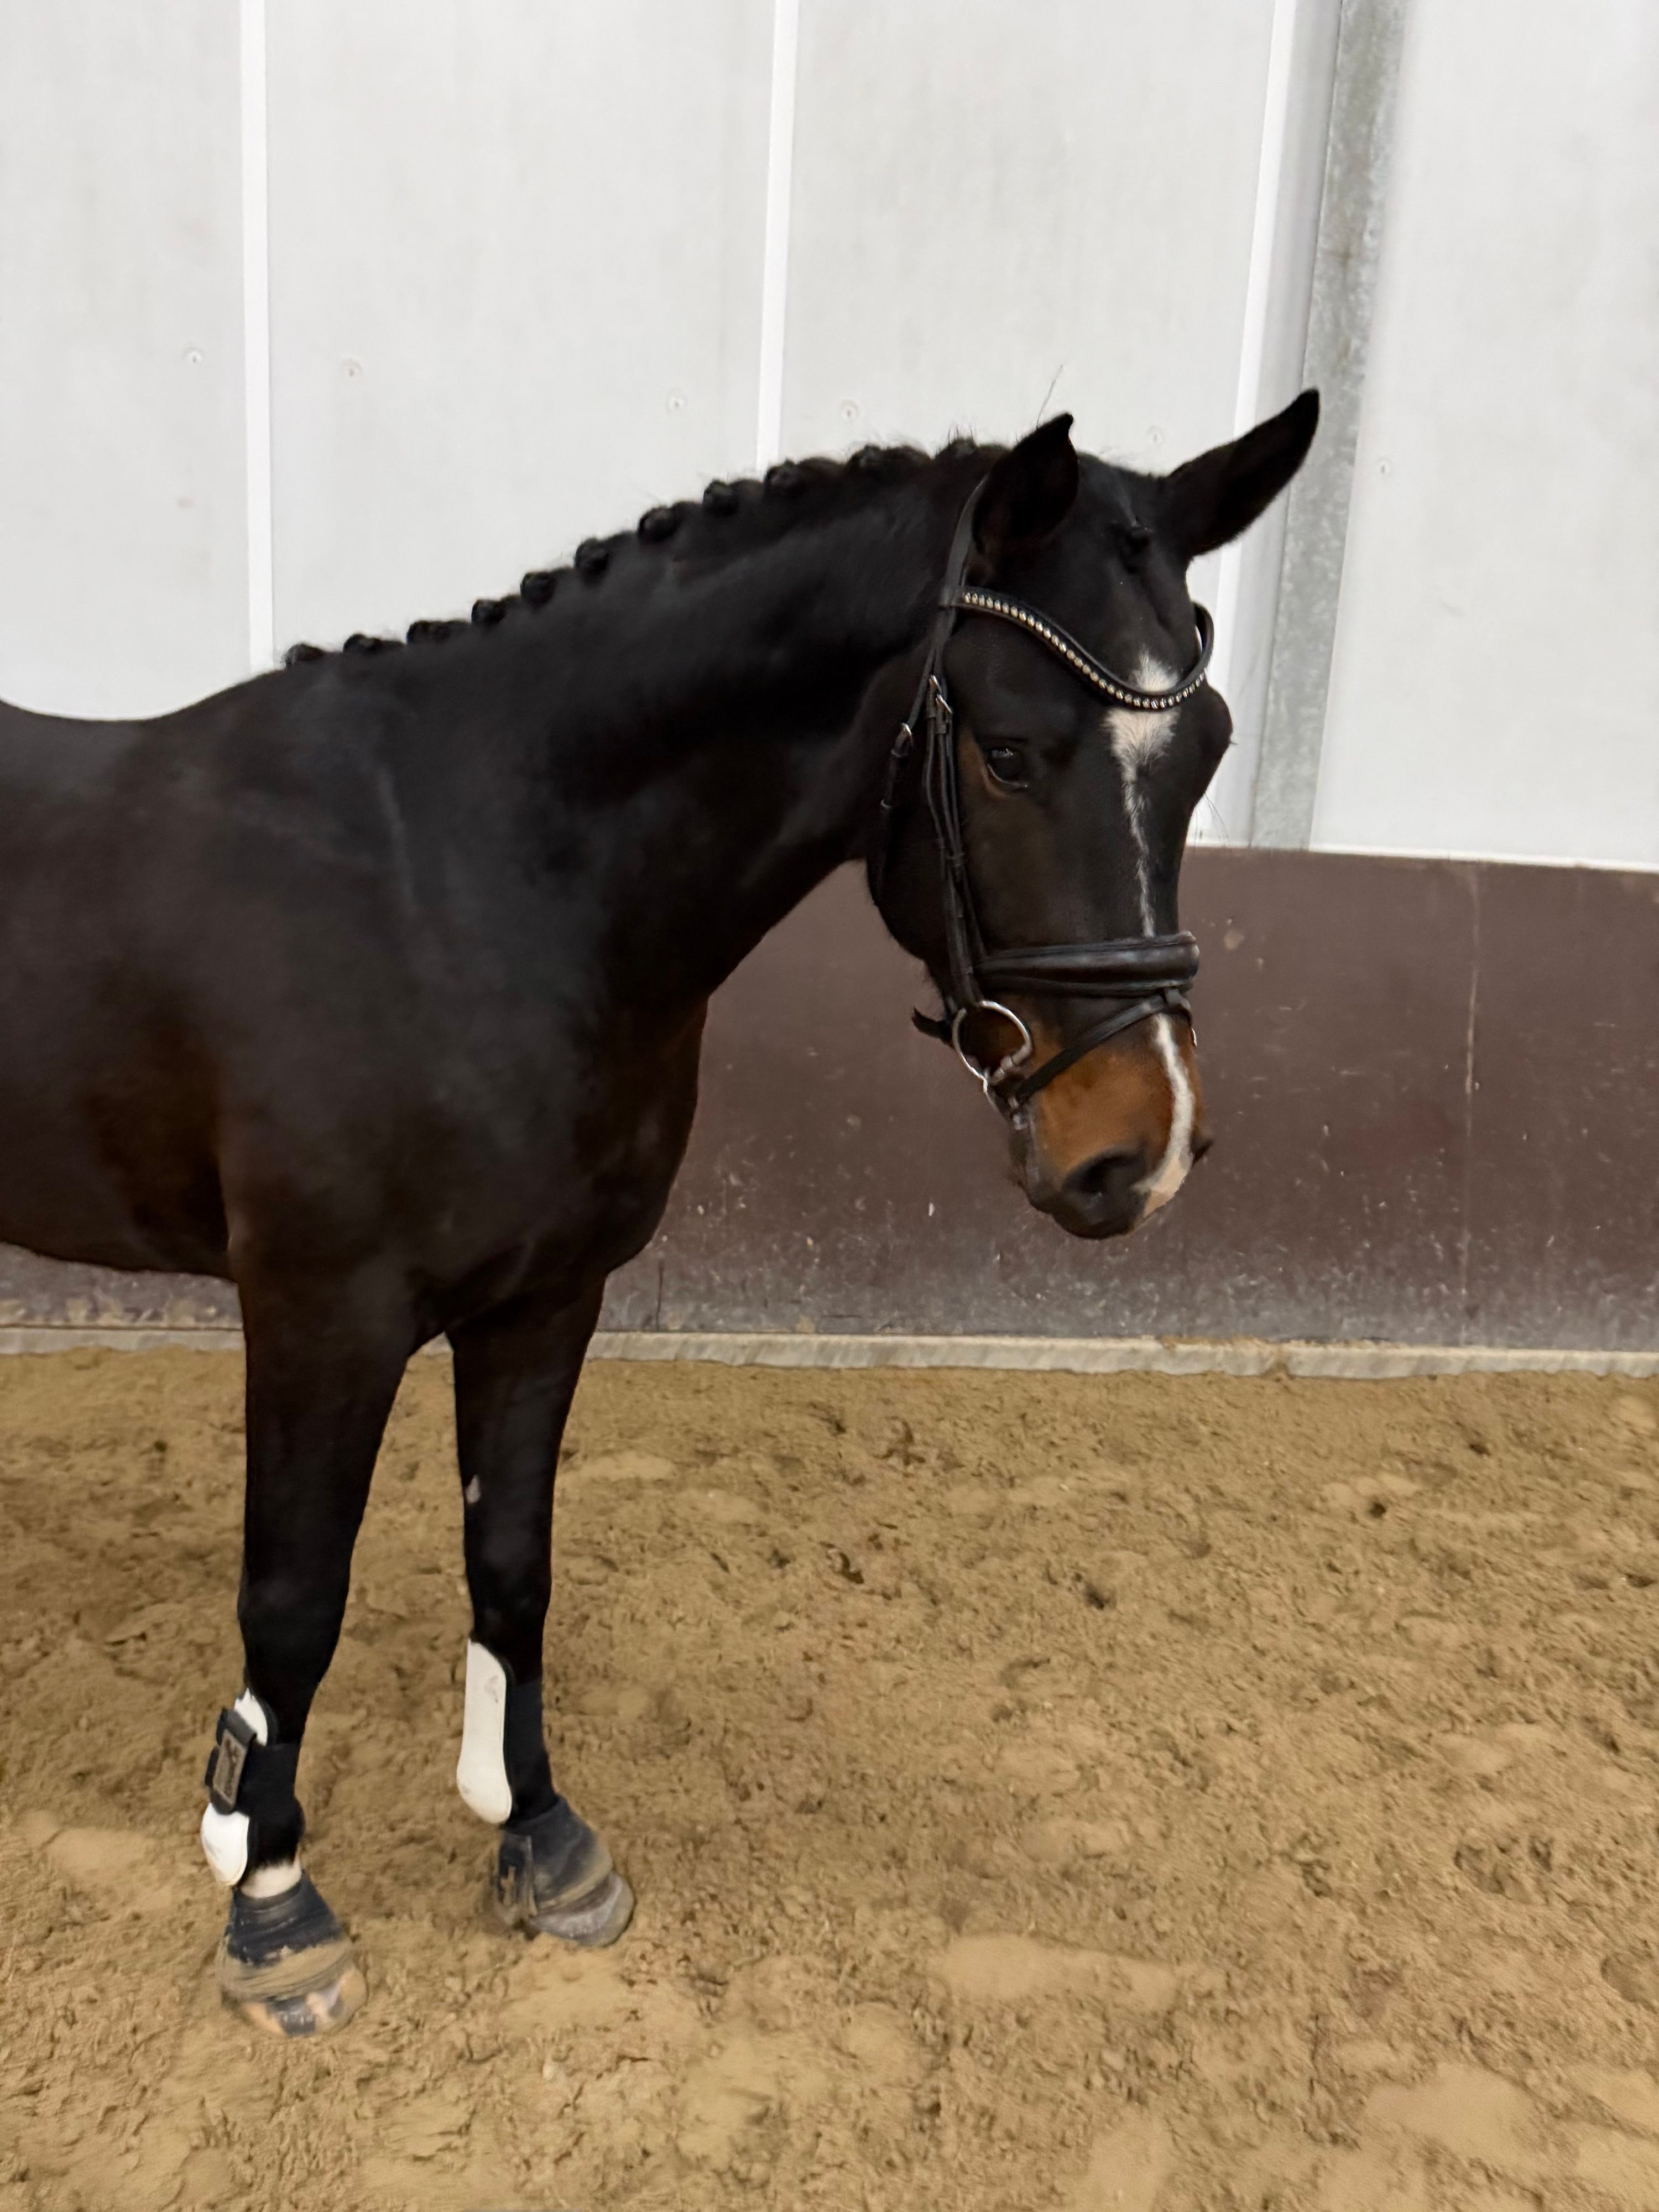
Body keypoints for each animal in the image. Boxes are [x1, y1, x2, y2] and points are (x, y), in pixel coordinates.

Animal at [0, 392, 1316, 2035]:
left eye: (1203, 753)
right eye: (1013, 754)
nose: (1140, 1151)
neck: (464, 880)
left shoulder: (548, 1295)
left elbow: (513, 1566)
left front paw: (541, 1838)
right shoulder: (322, 1311)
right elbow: (295, 1601)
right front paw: (273, 1901)